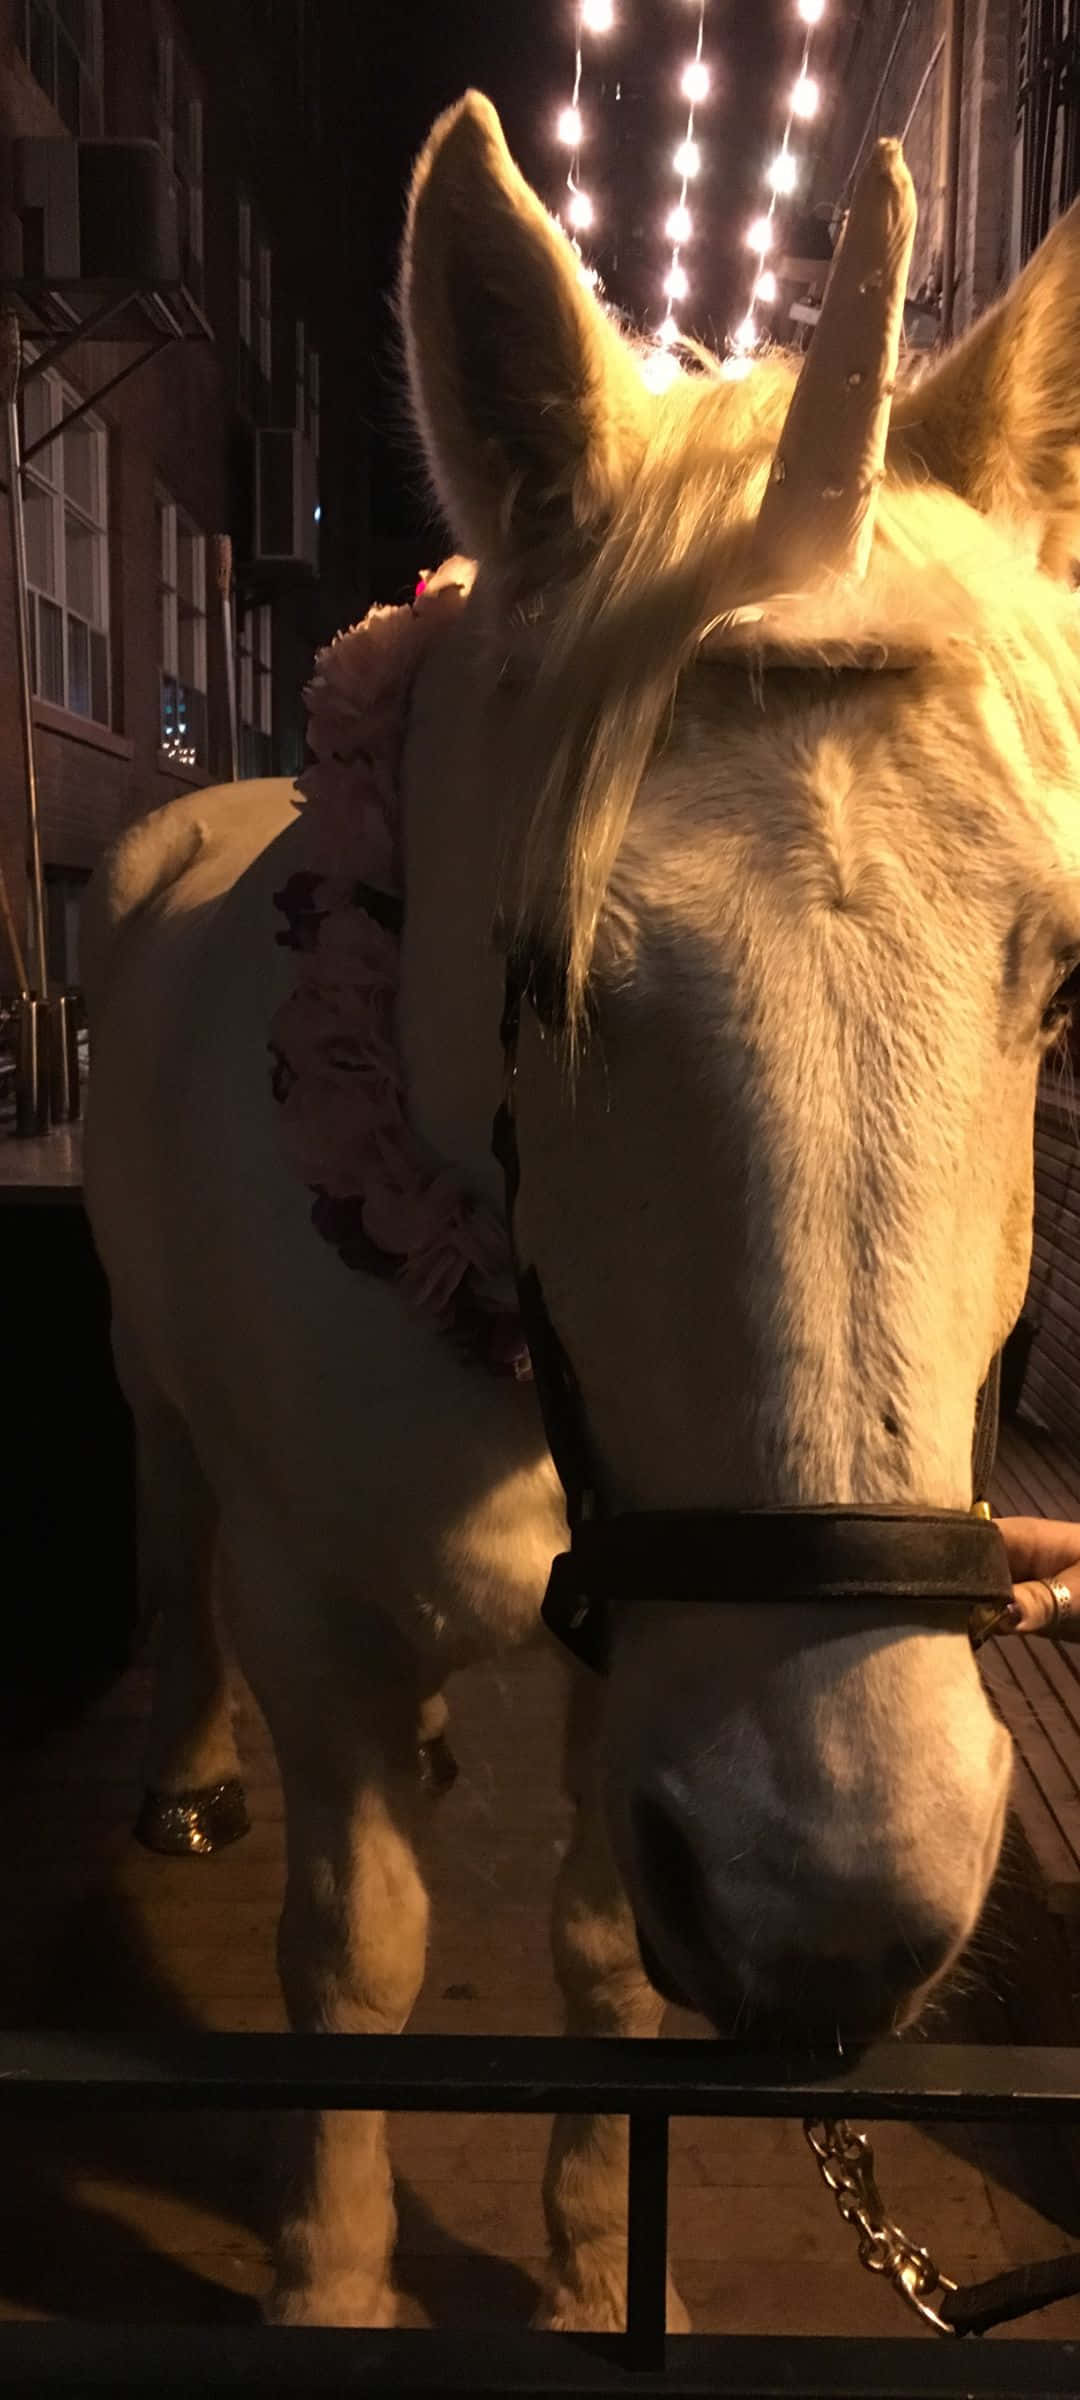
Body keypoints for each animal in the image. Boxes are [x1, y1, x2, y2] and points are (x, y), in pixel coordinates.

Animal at [81, 95, 1080, 2331]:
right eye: (536, 977)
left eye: (1061, 972)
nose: (841, 1912)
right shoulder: (325, 1613)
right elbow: (354, 1954)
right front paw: (333, 2276)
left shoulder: (658, 1670)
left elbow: (607, 1954)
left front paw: (584, 2267)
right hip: (158, 1404)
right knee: (173, 1536)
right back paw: (182, 1764)